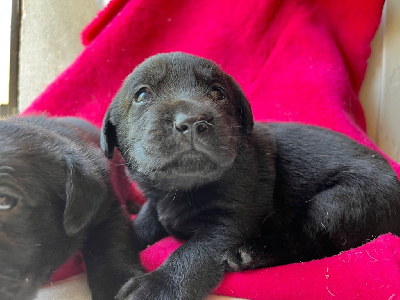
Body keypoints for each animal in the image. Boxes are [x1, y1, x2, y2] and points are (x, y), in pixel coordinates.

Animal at [100, 52, 400, 300]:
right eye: (142, 95)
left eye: (218, 92)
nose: (192, 121)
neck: (181, 188)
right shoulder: (154, 206)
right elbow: (136, 228)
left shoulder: (230, 223)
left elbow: (192, 253)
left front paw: (157, 286)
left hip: (338, 203)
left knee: (312, 243)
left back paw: (251, 254)